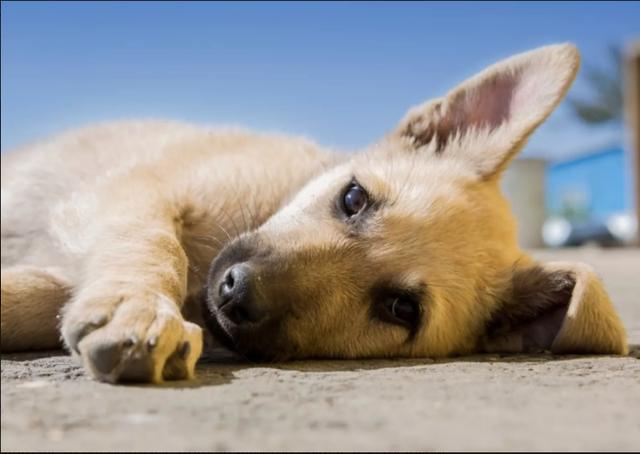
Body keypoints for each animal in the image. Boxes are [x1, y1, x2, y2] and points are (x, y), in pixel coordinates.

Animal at [0, 43, 628, 384]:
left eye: (400, 309)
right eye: (354, 199)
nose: (235, 292)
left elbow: (42, 296)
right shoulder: (135, 190)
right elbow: (154, 244)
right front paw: (139, 308)